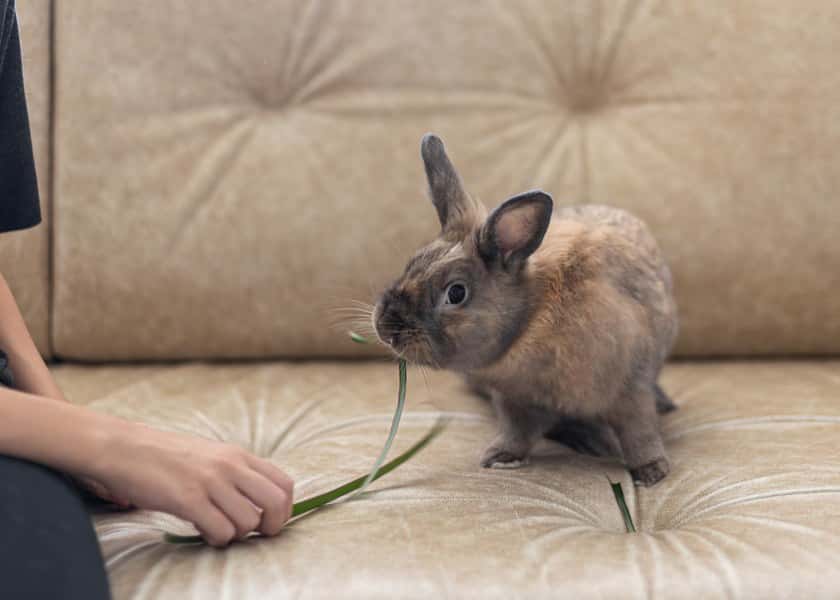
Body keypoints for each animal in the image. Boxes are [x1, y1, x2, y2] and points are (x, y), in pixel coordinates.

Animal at [373, 134, 678, 486]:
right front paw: (500, 457)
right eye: (411, 263)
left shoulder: (631, 389)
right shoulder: (513, 400)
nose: (384, 328)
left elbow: (639, 433)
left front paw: (651, 472)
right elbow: (516, 433)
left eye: (456, 292)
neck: (532, 321)